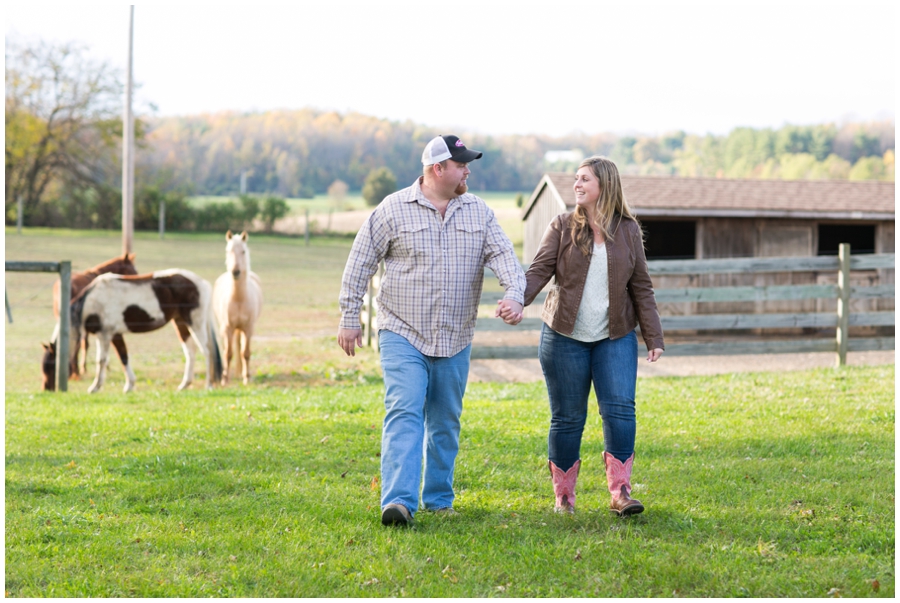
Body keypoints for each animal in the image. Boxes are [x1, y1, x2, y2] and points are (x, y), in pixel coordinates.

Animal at [40, 268, 225, 392]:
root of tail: (202, 282)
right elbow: (123, 356)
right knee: (191, 352)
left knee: (207, 351)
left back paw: (209, 384)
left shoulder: (106, 334)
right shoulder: (113, 335)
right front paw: (129, 385)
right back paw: (184, 384)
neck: (90, 302)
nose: (46, 388)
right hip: (180, 322)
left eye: (50, 366)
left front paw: (95, 387)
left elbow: (103, 360)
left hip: (195, 322)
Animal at [212, 231, 262, 386]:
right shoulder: (227, 327)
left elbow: (245, 352)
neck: (238, 298)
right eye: (228, 251)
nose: (236, 272)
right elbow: (228, 353)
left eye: (243, 251)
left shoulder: (248, 328)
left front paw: (247, 378)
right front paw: (224, 380)